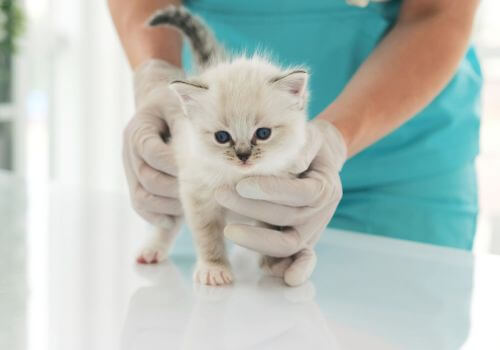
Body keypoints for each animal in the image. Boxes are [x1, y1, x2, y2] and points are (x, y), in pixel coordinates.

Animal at [138, 5, 308, 286]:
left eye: (263, 133)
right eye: (222, 137)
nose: (243, 155)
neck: (237, 179)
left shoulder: (279, 199)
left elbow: (273, 232)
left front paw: (275, 262)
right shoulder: (198, 194)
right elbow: (208, 236)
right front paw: (214, 268)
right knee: (168, 221)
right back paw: (152, 249)